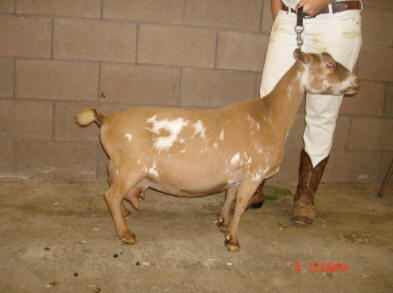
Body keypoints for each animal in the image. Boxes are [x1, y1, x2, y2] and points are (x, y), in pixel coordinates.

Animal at [76, 49, 358, 250]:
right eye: (330, 65)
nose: (356, 81)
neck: (269, 118)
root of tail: (108, 119)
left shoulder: (237, 173)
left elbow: (230, 197)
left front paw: (223, 224)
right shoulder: (255, 172)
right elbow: (242, 203)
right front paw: (232, 240)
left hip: (117, 165)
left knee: (111, 187)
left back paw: (125, 215)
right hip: (132, 167)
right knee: (111, 194)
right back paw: (125, 234)